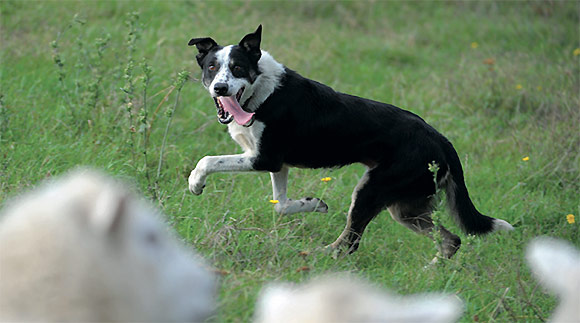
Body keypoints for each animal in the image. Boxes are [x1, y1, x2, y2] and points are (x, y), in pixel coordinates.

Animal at [187, 25, 512, 258]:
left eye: (238, 68)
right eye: (212, 68)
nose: (220, 88)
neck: (261, 92)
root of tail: (441, 139)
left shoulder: (264, 158)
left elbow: (208, 160)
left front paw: (195, 183)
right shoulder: (277, 165)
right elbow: (281, 205)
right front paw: (314, 204)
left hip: (371, 191)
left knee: (349, 244)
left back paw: (315, 257)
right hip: (406, 207)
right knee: (451, 240)